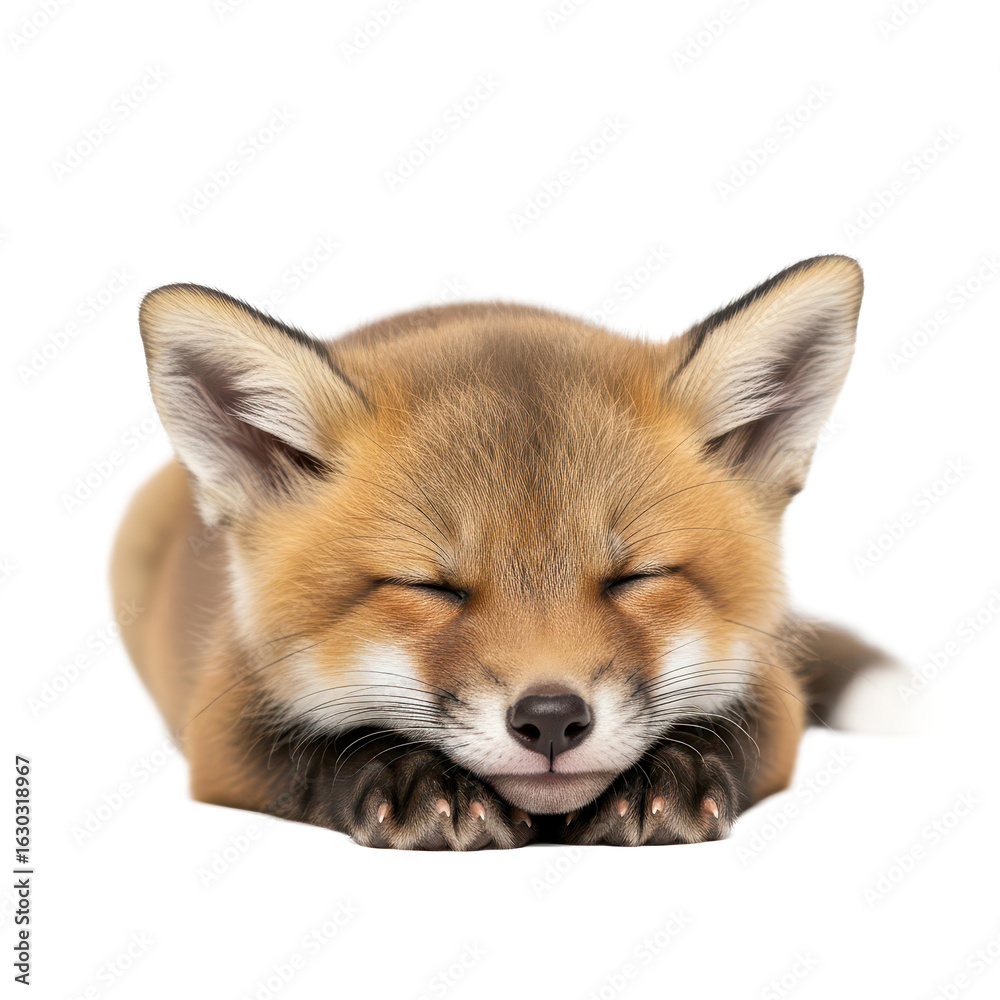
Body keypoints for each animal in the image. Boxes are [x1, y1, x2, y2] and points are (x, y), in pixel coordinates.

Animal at [111, 254, 887, 850]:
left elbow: (730, 728)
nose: (551, 719)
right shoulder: (221, 727)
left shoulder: (775, 693)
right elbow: (314, 752)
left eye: (634, 577)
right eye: (431, 587)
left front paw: (666, 778)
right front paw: (419, 782)